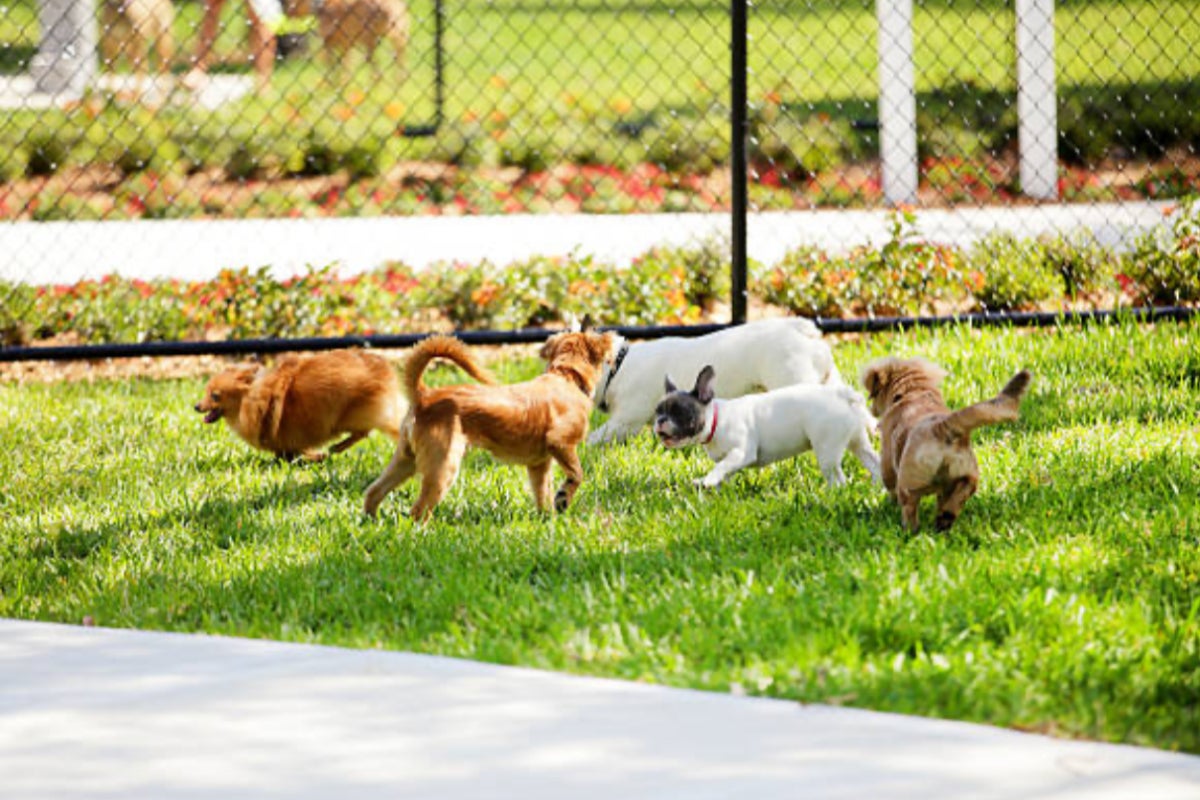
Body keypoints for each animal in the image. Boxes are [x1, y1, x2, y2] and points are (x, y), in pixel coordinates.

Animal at [195, 349, 404, 461]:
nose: (196, 406)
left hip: (350, 416)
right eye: (206, 392)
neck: (252, 400)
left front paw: (316, 457)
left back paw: (338, 446)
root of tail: (382, 368)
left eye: (215, 396)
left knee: (363, 432)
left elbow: (291, 453)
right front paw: (316, 457)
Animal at [363, 329, 615, 521]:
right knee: (418, 510)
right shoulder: (561, 443)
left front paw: (548, 519)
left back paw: (371, 522)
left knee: (374, 491)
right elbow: (577, 474)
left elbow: (542, 493)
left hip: (406, 459)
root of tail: (425, 395)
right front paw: (563, 498)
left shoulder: (539, 465)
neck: (566, 377)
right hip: (443, 465)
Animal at [653, 365, 881, 489]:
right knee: (873, 461)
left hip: (827, 449)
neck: (716, 419)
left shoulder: (741, 453)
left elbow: (722, 466)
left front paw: (707, 481)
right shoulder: (732, 459)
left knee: (837, 479)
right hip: (857, 440)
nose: (660, 420)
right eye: (658, 411)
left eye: (679, 412)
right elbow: (725, 471)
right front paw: (716, 488)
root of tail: (842, 395)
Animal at [861, 357, 1031, 532]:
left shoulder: (887, 460)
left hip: (908, 486)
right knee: (955, 501)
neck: (913, 392)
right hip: (965, 477)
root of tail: (941, 427)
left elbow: (890, 485)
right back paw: (944, 520)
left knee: (910, 509)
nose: (871, 409)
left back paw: (910, 531)